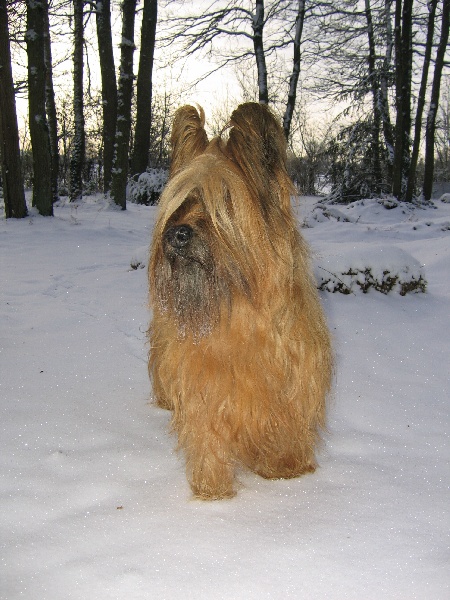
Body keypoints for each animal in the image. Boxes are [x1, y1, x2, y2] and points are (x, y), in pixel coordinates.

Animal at [149, 103, 332, 502]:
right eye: (181, 199)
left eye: (225, 201)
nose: (177, 233)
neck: (238, 309)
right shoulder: (202, 380)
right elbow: (207, 431)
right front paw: (212, 489)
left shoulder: (293, 372)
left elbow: (287, 420)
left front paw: (287, 468)